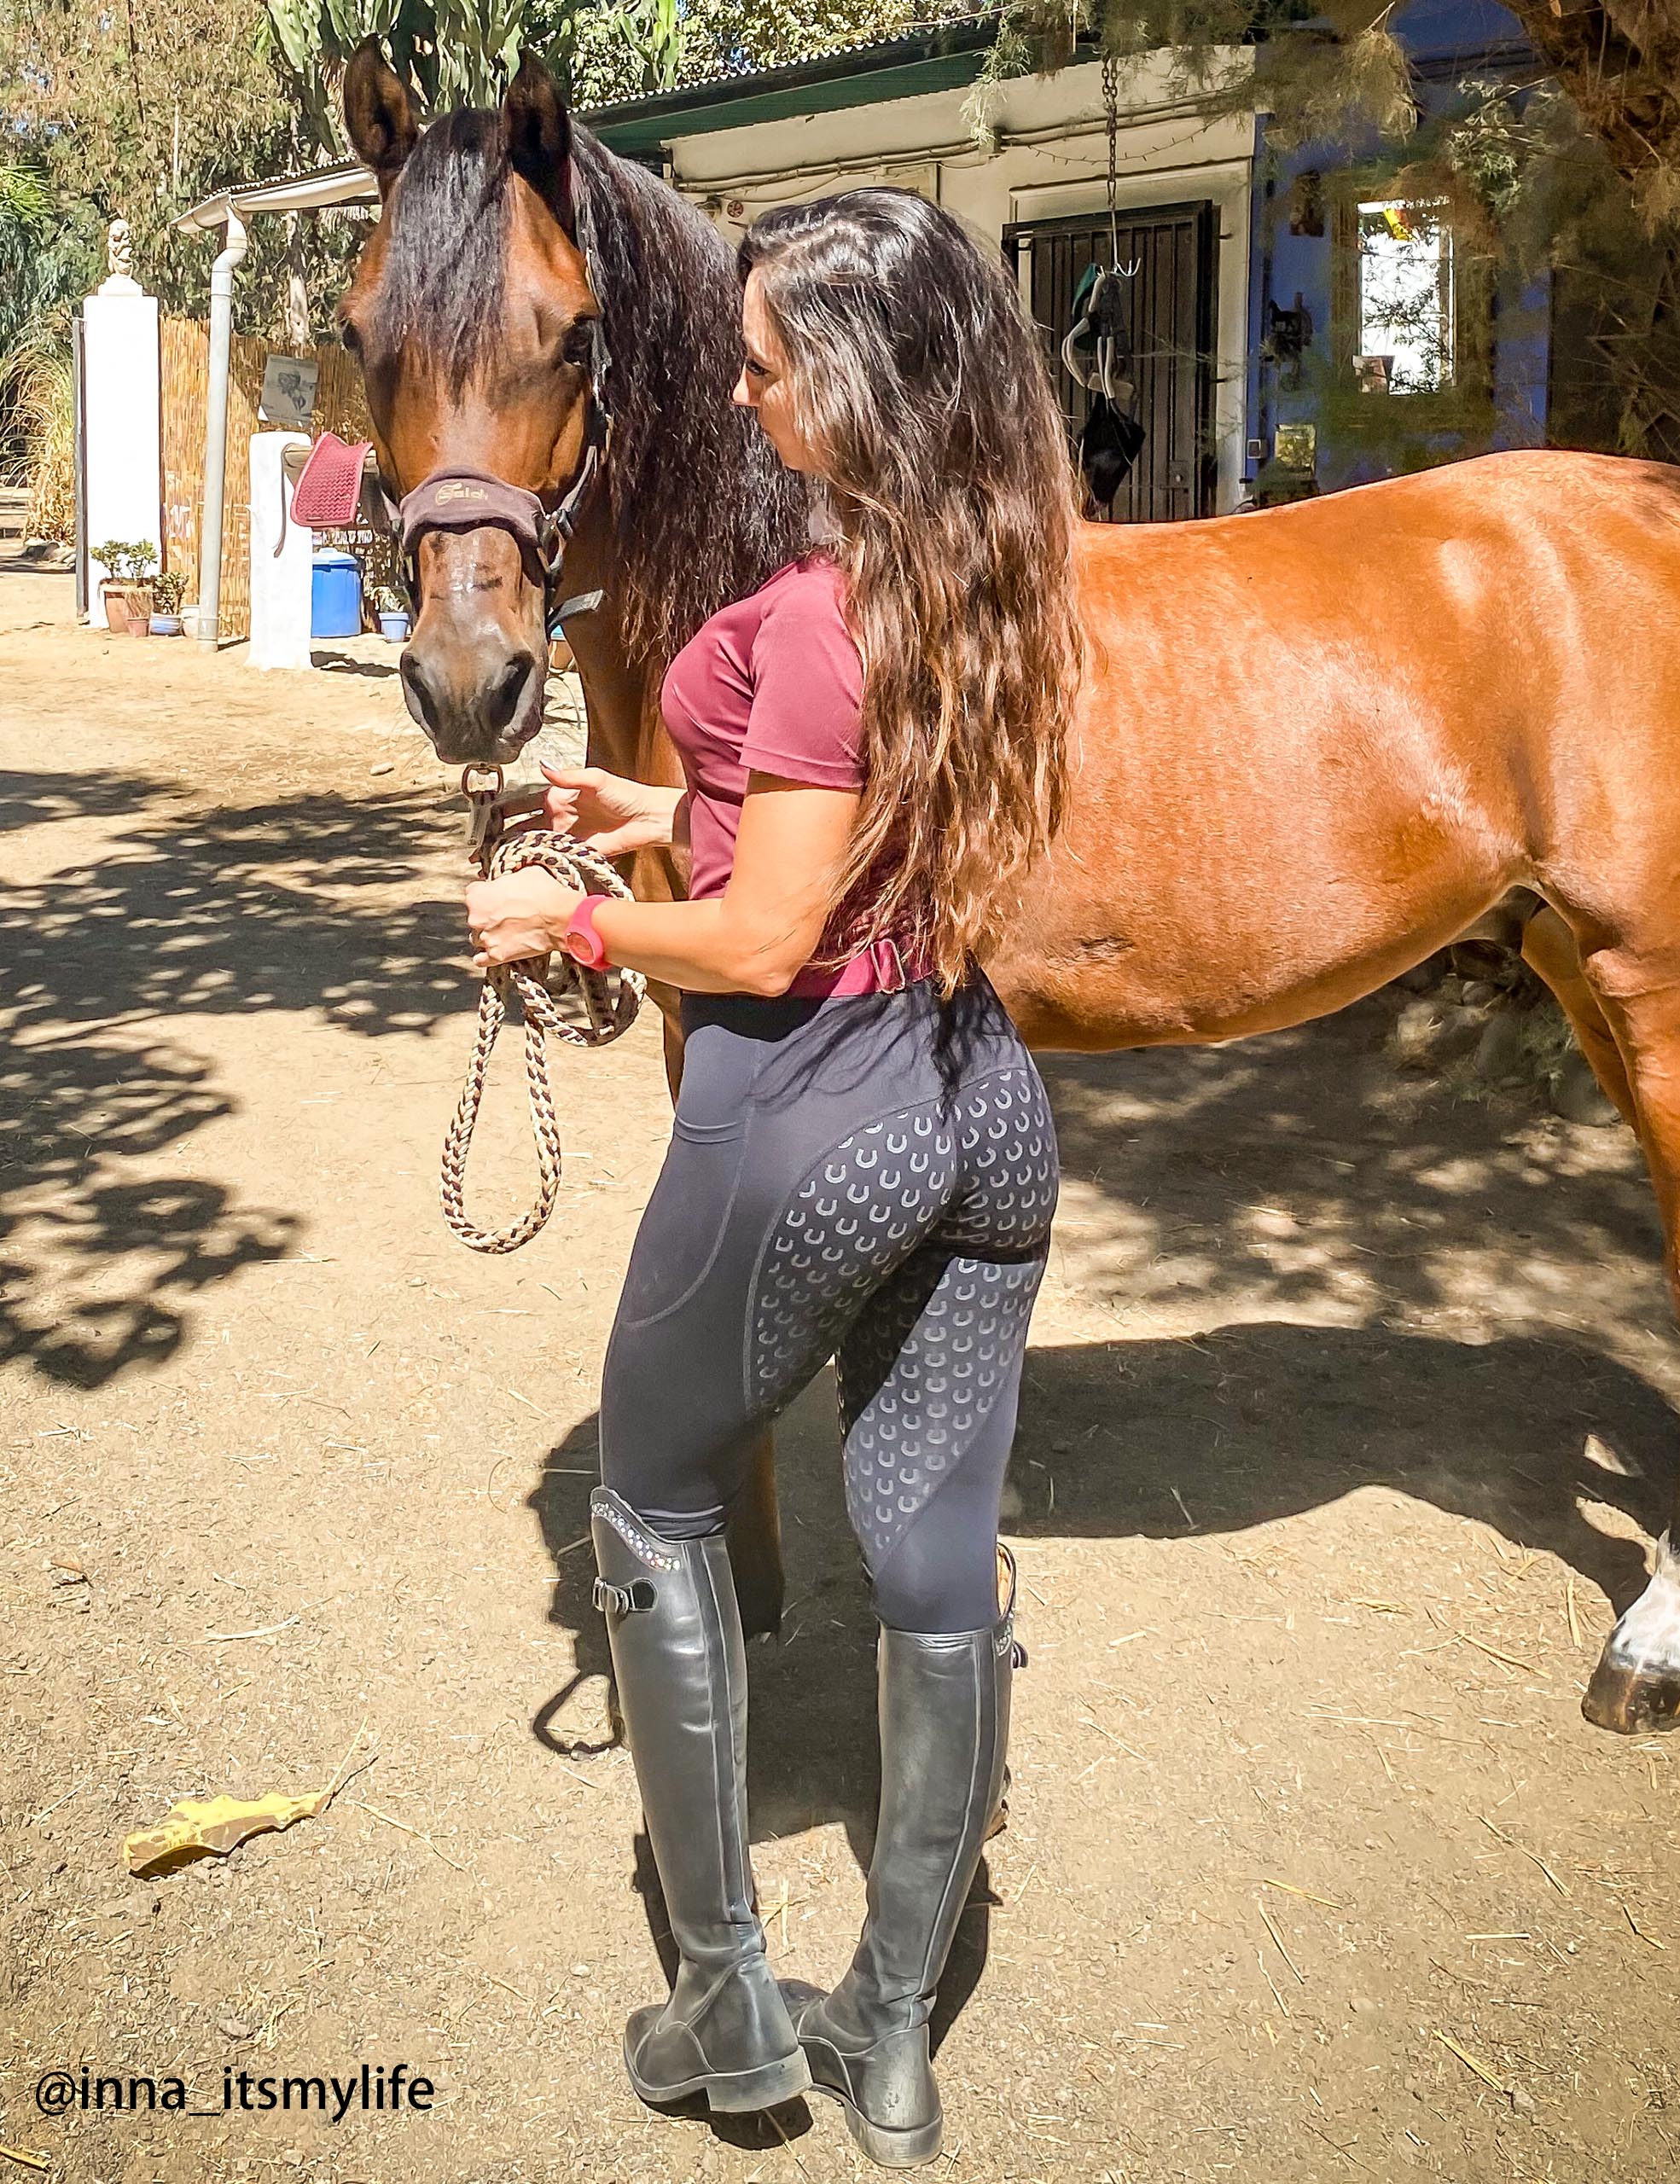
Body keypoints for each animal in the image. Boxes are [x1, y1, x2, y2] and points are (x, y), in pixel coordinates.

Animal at [334, 38, 1677, 1738]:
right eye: (355, 330)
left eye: (571, 336)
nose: (469, 681)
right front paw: (745, 1602)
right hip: (1576, 964)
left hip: (1652, 985)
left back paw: (1645, 1647)